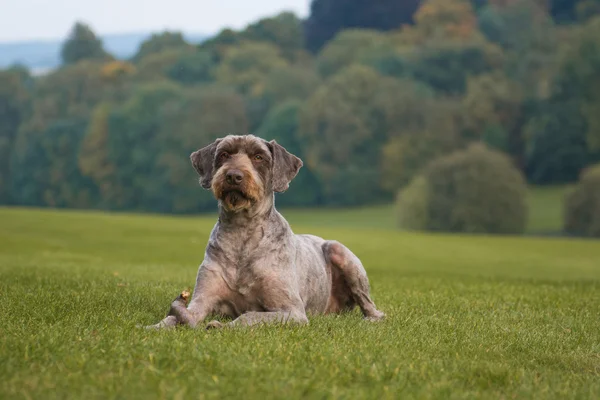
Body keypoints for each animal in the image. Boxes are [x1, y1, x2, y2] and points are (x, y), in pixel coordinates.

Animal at [148, 134, 386, 328]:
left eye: (259, 157)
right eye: (224, 154)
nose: (233, 176)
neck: (242, 231)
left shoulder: (291, 311)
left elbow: (248, 316)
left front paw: (220, 326)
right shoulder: (202, 300)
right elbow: (175, 316)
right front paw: (156, 326)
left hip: (341, 253)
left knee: (371, 307)